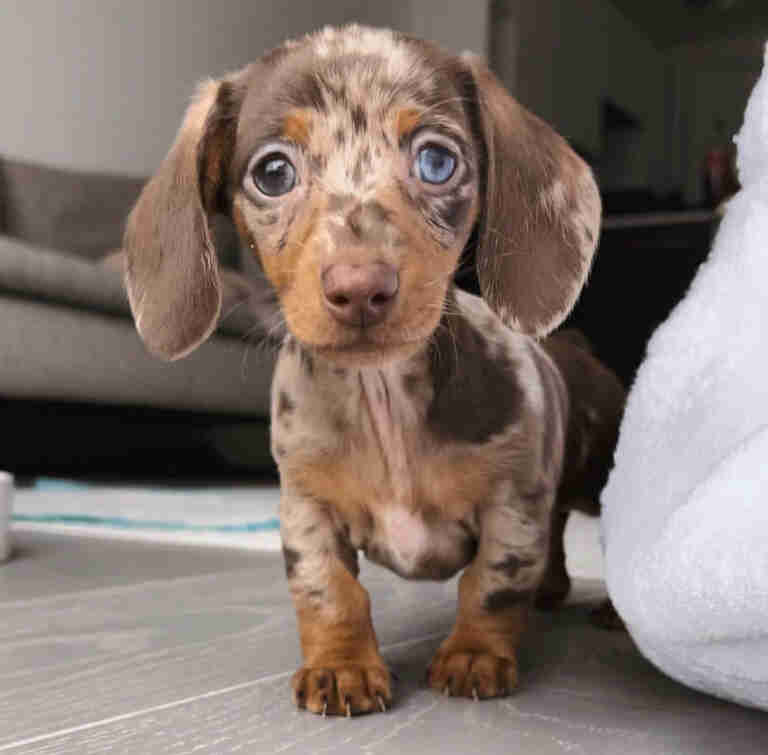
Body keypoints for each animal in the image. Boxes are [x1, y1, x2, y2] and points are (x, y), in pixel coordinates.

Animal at [124, 23, 608, 716]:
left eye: (437, 161)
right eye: (273, 172)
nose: (359, 289)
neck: (384, 401)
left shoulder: (511, 505)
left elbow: (489, 585)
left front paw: (473, 654)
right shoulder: (306, 509)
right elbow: (329, 591)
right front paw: (342, 666)